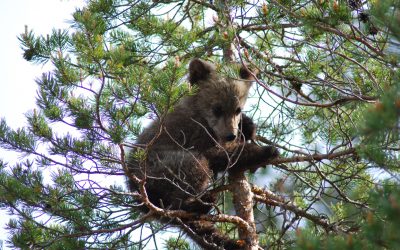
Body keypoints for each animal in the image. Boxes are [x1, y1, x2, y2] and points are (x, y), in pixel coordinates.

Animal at [128, 58, 278, 248]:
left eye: (237, 109)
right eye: (217, 108)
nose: (230, 135)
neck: (200, 112)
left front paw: (248, 126)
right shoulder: (196, 134)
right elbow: (219, 155)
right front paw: (266, 150)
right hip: (157, 169)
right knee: (194, 167)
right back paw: (198, 202)